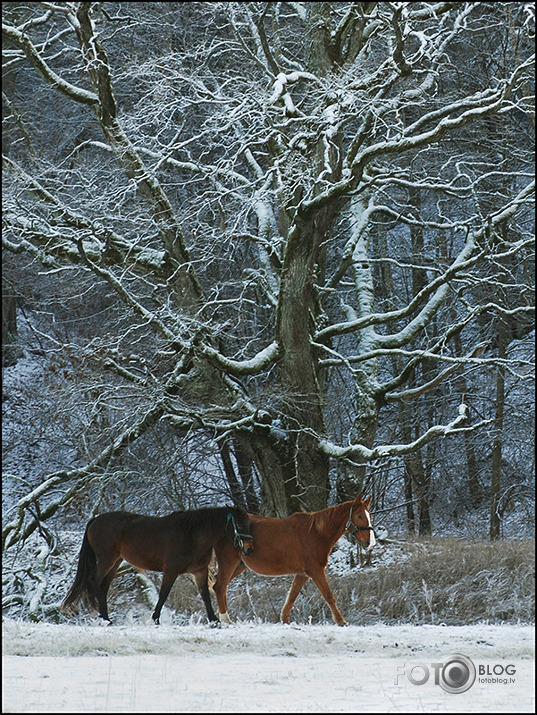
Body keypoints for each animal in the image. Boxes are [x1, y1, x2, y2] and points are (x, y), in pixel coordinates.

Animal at [60, 506, 253, 624]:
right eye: (239, 523)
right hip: (107, 559)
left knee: (103, 587)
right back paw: (101, 617)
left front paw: (214, 620)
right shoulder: (171, 570)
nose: (249, 549)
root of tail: (95, 520)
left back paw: (107, 618)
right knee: (94, 581)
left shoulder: (199, 571)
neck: (192, 534)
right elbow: (163, 595)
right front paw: (155, 619)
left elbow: (205, 595)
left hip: (115, 562)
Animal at [211, 498, 374, 628]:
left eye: (369, 515)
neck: (316, 533)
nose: (370, 543)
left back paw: (219, 616)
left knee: (220, 587)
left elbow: (291, 596)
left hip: (238, 566)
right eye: (359, 515)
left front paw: (285, 620)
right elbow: (329, 596)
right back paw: (224, 619)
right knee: (219, 586)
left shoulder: (303, 574)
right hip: (229, 562)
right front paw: (341, 621)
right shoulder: (316, 571)